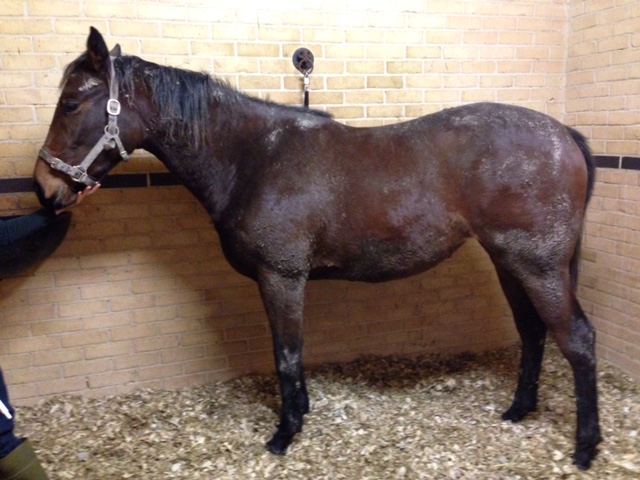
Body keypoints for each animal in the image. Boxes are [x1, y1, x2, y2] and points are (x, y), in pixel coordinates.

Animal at [33, 27, 601, 470]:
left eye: (71, 103)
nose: (44, 188)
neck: (252, 157)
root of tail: (564, 135)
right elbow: (292, 352)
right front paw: (300, 413)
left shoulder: (281, 276)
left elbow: (286, 353)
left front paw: (285, 434)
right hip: (510, 261)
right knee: (533, 333)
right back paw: (519, 410)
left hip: (539, 266)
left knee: (576, 339)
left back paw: (586, 446)